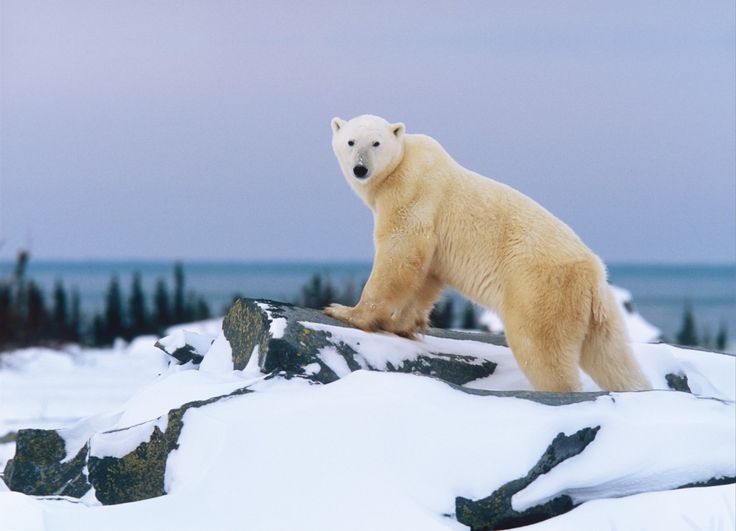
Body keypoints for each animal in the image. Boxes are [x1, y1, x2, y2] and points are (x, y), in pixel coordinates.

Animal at [326, 114, 648, 392]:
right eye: (351, 141)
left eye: (376, 143)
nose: (360, 169)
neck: (403, 163)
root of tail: (594, 274)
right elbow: (427, 276)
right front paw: (403, 325)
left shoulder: (413, 193)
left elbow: (400, 252)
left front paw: (347, 312)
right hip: (599, 310)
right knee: (612, 357)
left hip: (541, 289)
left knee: (540, 348)